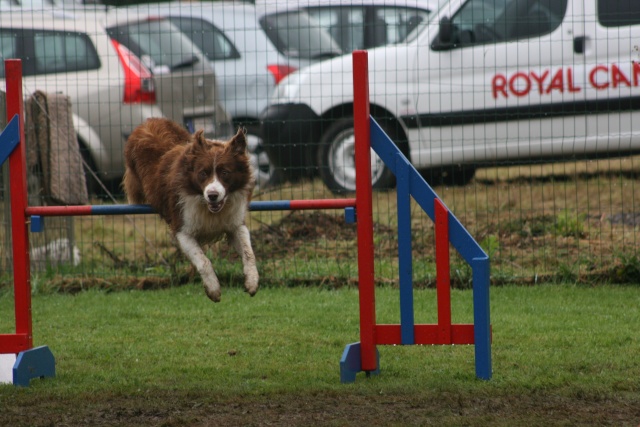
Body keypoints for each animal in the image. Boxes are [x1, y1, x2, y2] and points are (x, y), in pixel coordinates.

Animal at [122, 118, 258, 302]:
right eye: (203, 173)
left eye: (225, 172)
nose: (212, 195)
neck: (209, 207)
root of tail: (149, 121)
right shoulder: (182, 229)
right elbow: (203, 261)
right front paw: (213, 289)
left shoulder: (234, 223)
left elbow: (249, 253)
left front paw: (252, 281)